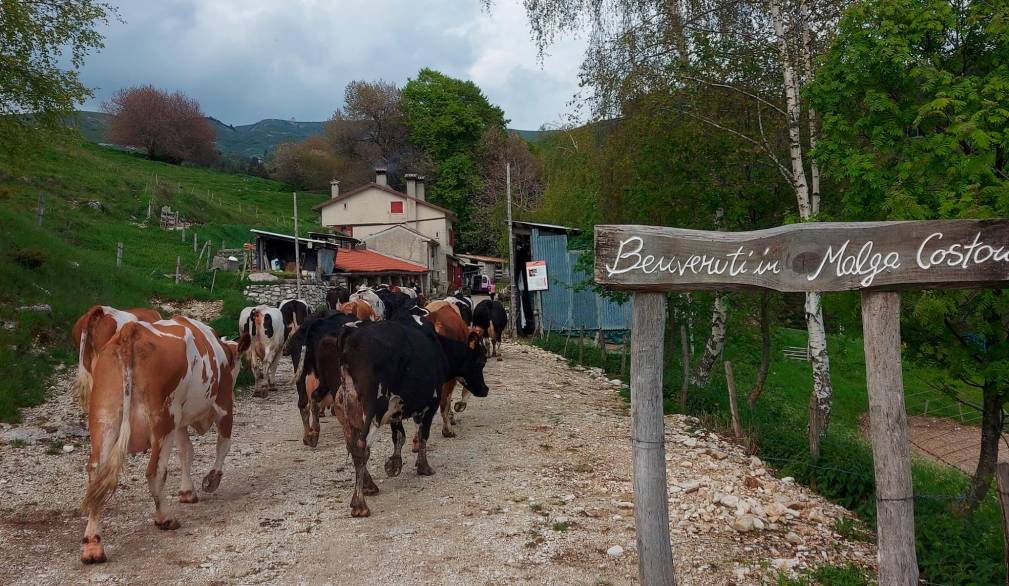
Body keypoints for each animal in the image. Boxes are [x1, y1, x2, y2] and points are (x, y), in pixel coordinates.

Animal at [79, 316, 249, 564]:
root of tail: (131, 331)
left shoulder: (180, 422)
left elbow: (187, 452)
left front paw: (187, 492)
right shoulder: (224, 406)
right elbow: (223, 445)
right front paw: (212, 479)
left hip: (105, 418)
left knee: (95, 475)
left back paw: (93, 545)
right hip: (163, 421)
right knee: (155, 471)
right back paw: (164, 518)